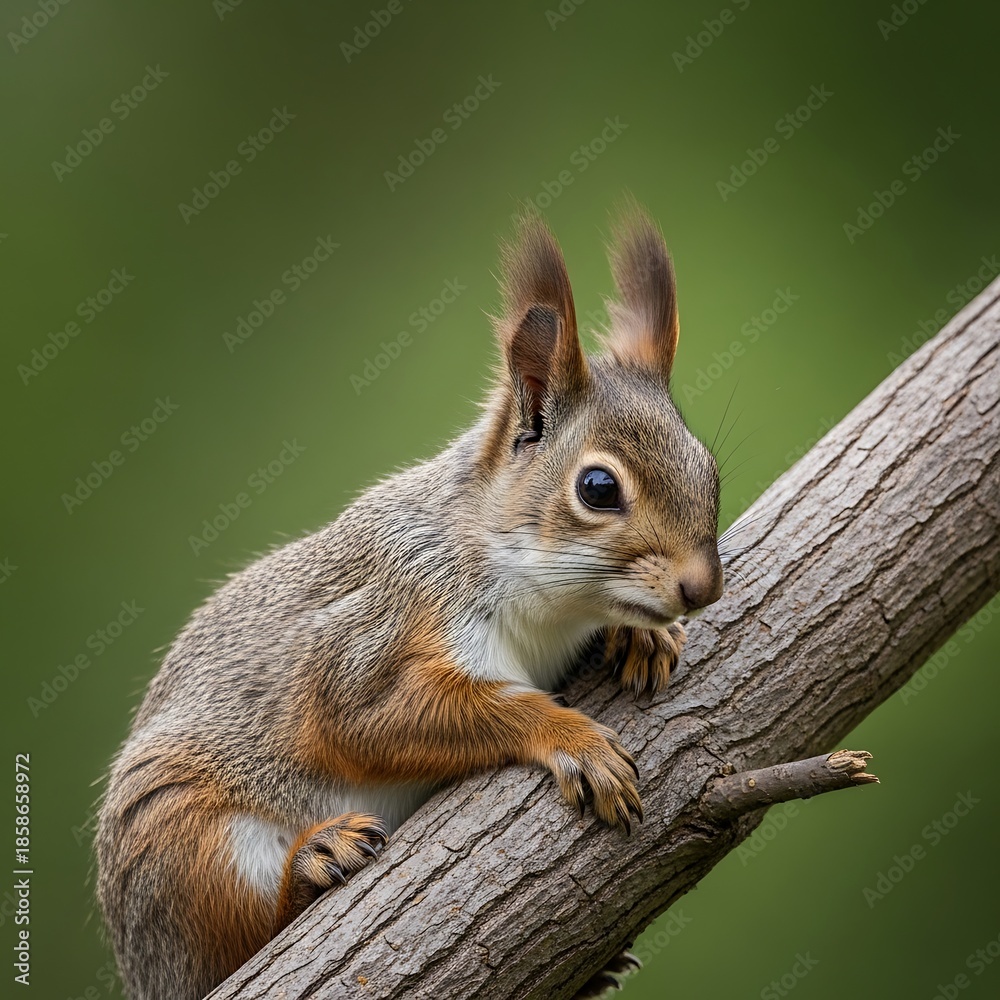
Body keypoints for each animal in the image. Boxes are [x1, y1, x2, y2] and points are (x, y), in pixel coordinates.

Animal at [96, 204, 724, 1000]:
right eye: (598, 488)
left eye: (709, 467)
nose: (701, 587)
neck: (543, 603)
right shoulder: (385, 624)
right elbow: (372, 718)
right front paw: (572, 738)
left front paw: (640, 638)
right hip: (188, 846)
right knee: (241, 938)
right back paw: (314, 865)